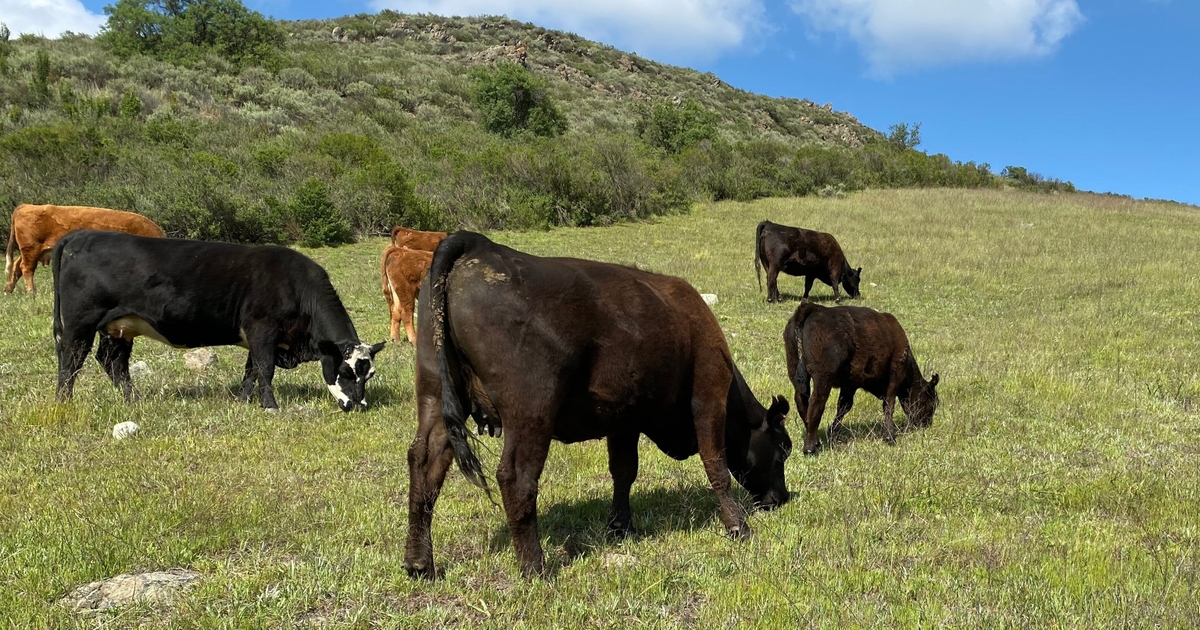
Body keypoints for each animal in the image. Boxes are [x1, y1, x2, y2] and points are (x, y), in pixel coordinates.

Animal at [5, 205, 164, 296]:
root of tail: (25, 206)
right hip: (31, 249)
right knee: (26, 269)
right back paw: (32, 293)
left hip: (29, 251)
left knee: (16, 266)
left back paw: (8, 290)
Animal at [52, 230, 384, 412]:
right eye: (345, 370)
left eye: (369, 374)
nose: (358, 405)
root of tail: (81, 235)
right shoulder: (263, 331)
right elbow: (265, 370)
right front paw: (270, 406)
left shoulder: (257, 338)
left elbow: (251, 371)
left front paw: (243, 400)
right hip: (81, 322)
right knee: (72, 358)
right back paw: (64, 401)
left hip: (119, 327)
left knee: (113, 361)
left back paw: (134, 400)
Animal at [405, 229, 796, 573]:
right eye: (782, 449)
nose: (781, 499)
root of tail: (479, 245)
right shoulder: (708, 395)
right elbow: (716, 465)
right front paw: (738, 526)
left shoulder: (623, 419)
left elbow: (624, 471)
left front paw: (621, 526)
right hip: (531, 410)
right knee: (516, 477)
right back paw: (535, 567)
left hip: (434, 395)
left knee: (425, 463)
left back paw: (420, 563)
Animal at [782, 302, 940, 453]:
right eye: (933, 401)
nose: (926, 424)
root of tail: (813, 308)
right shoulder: (896, 374)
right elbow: (888, 405)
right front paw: (890, 437)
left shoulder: (849, 385)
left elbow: (844, 407)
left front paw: (832, 433)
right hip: (822, 379)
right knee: (816, 404)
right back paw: (810, 448)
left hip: (795, 371)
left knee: (802, 402)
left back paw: (816, 441)